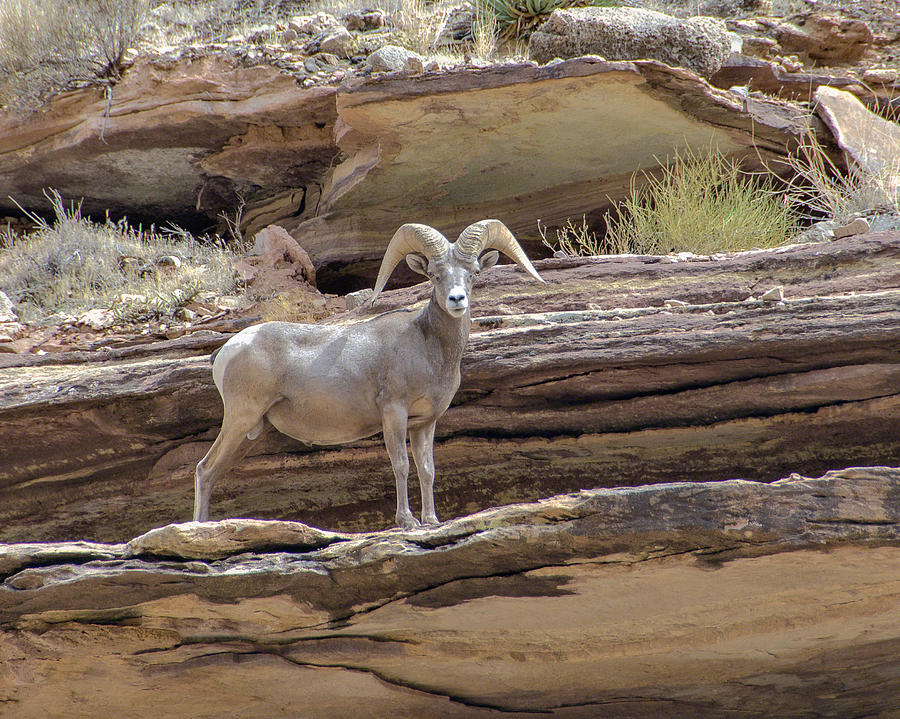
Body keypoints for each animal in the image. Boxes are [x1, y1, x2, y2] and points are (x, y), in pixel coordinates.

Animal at [193, 219, 540, 528]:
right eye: (434, 275)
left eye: (474, 273)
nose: (457, 300)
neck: (429, 346)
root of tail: (227, 351)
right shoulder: (394, 412)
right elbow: (401, 464)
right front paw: (407, 521)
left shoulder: (425, 423)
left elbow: (426, 469)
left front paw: (431, 520)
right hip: (241, 417)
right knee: (204, 469)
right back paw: (199, 526)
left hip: (251, 431)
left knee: (214, 471)